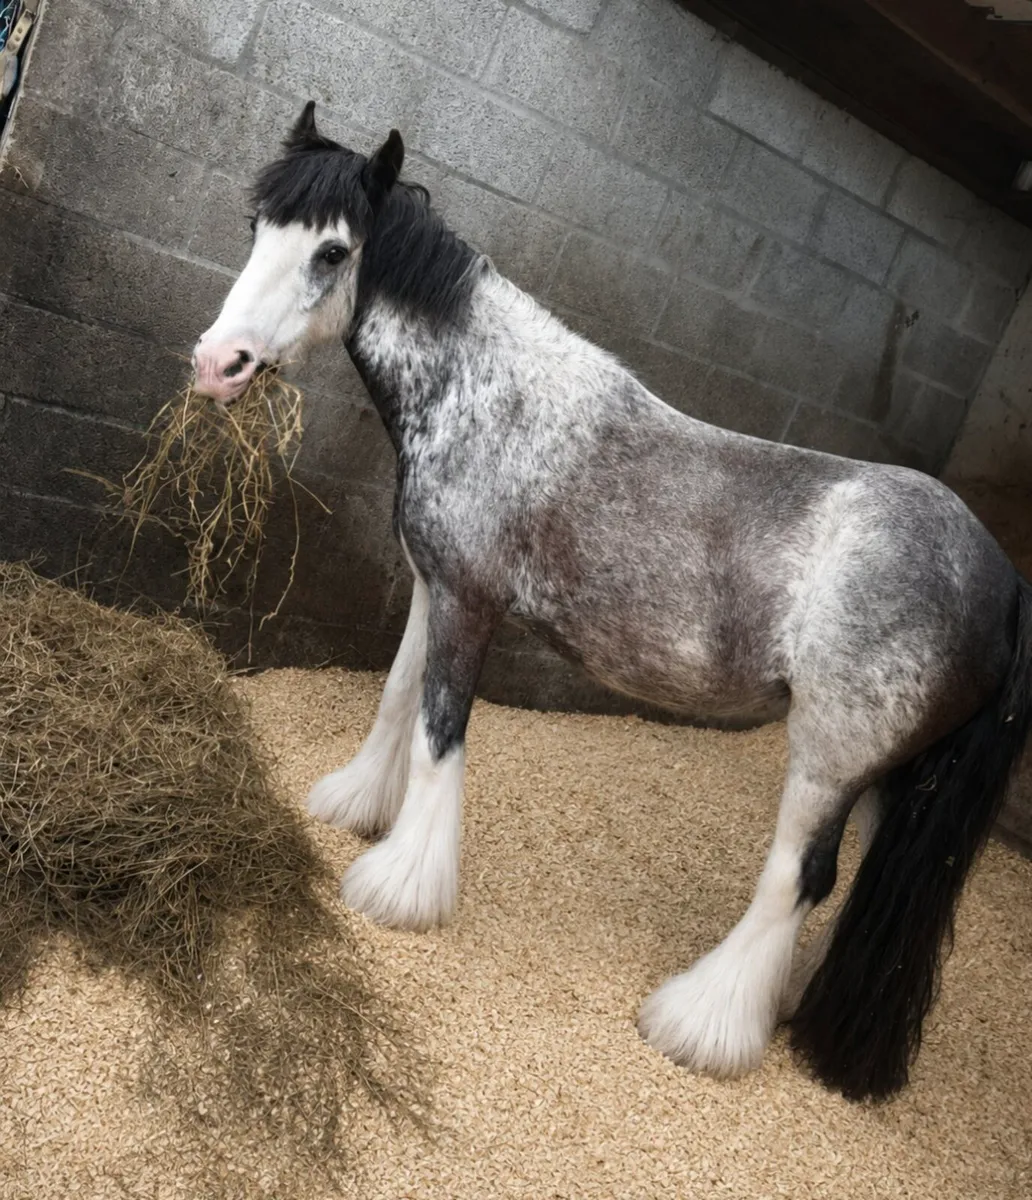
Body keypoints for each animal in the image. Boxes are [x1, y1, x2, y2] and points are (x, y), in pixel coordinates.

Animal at [191, 102, 1032, 1102]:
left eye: (331, 250)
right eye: (257, 226)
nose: (218, 363)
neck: (493, 399)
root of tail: (1003, 583)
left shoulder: (470, 603)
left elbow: (442, 734)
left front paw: (400, 887)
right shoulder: (435, 587)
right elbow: (398, 700)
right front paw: (356, 805)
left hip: (829, 760)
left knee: (802, 878)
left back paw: (700, 1024)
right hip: (894, 781)